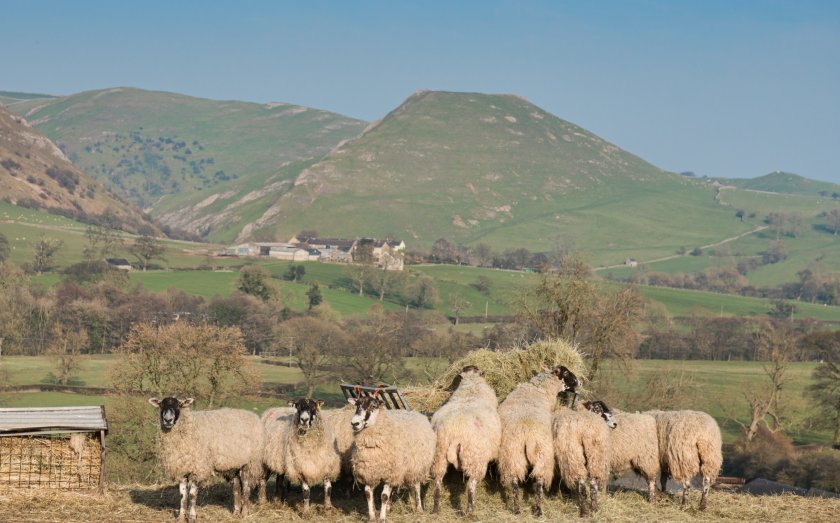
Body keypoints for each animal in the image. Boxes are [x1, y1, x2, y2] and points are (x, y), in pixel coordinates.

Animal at [430, 366, 502, 516]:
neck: (471, 384)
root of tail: (455, 432)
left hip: (439, 455)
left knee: (438, 482)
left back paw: (436, 509)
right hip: (474, 458)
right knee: (470, 486)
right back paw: (470, 512)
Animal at [496, 364, 580, 516]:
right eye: (565, 372)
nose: (579, 382)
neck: (539, 387)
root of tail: (526, 432)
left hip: (512, 454)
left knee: (514, 481)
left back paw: (517, 509)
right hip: (542, 453)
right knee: (539, 481)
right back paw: (539, 510)